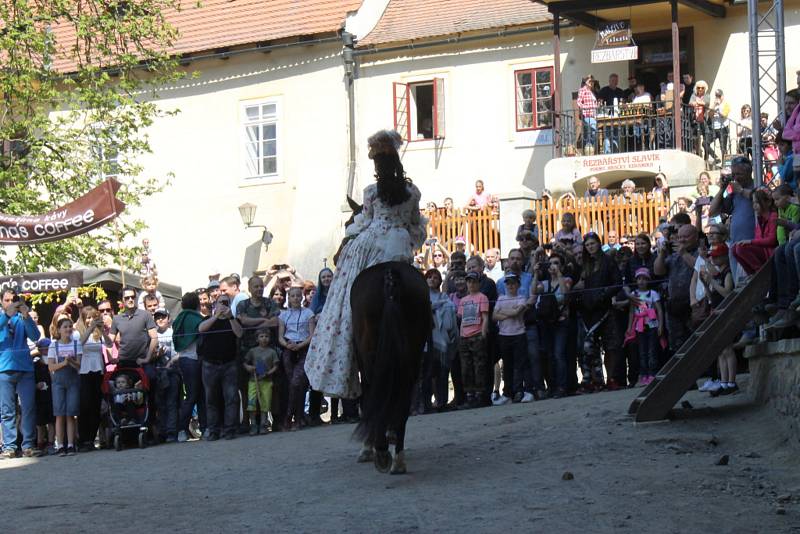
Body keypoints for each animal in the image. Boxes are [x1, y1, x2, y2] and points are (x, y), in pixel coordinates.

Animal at [332, 199, 432, 476]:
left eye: (348, 222)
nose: (334, 257)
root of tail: (389, 273)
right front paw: (389, 436)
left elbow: (368, 396)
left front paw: (369, 447)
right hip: (412, 353)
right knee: (403, 393)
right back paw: (398, 457)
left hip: (371, 353)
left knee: (375, 389)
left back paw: (381, 453)